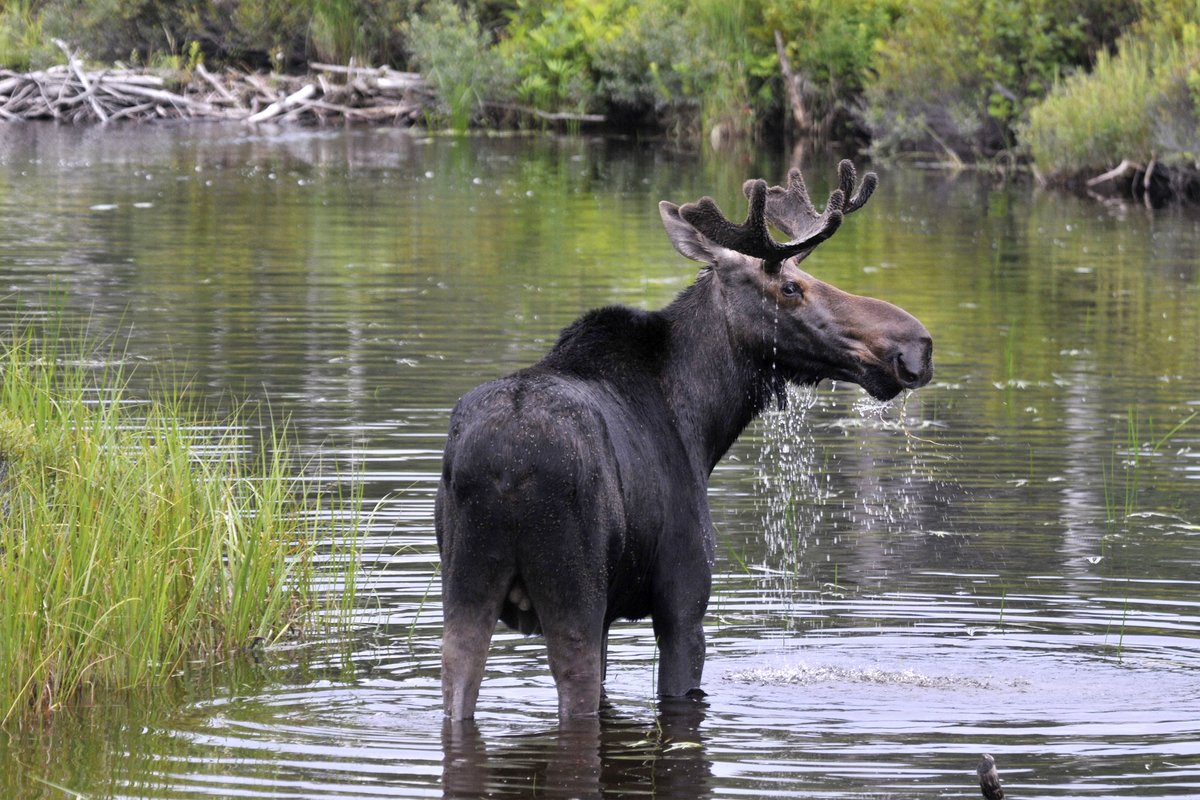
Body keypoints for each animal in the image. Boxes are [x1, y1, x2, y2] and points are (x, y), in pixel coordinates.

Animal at [435, 160, 933, 720]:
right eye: (790, 288)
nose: (915, 346)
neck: (704, 424)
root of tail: (507, 467)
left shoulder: (612, 615)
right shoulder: (683, 602)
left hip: (465, 587)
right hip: (573, 590)